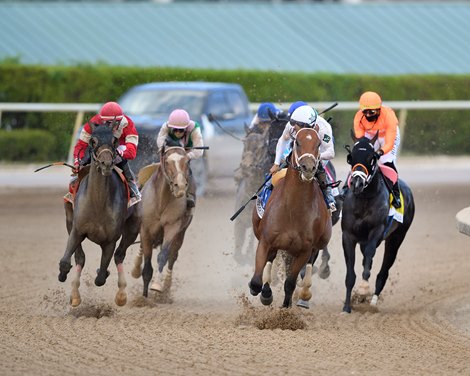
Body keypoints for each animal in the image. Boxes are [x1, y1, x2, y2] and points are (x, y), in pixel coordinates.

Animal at [130, 140, 193, 298]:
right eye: (167, 161)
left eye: (187, 161)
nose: (180, 186)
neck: (161, 201)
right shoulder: (146, 228)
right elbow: (147, 265)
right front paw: (144, 298)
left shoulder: (173, 226)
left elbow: (163, 256)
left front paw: (157, 286)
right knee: (142, 249)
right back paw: (136, 269)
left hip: (180, 234)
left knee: (173, 256)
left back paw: (167, 285)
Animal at [250, 126, 330, 308]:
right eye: (297, 142)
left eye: (318, 143)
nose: (308, 168)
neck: (293, 210)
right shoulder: (265, 241)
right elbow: (256, 281)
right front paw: (264, 293)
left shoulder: (304, 250)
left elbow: (290, 283)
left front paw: (286, 308)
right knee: (271, 260)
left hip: (317, 243)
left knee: (310, 262)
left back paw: (305, 294)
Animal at [342, 132, 414, 314]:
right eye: (351, 158)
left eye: (372, 158)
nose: (357, 183)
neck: (364, 198)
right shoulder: (348, 235)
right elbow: (350, 274)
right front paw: (347, 306)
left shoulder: (376, 231)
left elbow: (369, 256)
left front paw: (363, 289)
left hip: (396, 238)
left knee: (383, 272)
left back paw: (373, 302)